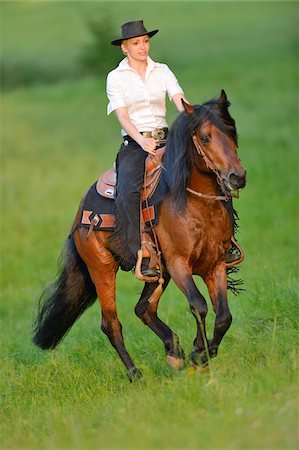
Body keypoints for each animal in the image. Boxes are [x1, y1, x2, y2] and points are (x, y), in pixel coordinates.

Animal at [34, 90, 247, 380]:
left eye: (232, 130)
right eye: (205, 137)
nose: (237, 177)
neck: (194, 204)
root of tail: (80, 214)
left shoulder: (215, 265)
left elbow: (224, 316)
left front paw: (202, 354)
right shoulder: (179, 265)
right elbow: (199, 305)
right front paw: (197, 354)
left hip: (156, 272)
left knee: (144, 309)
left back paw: (173, 351)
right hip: (102, 269)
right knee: (111, 323)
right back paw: (136, 374)